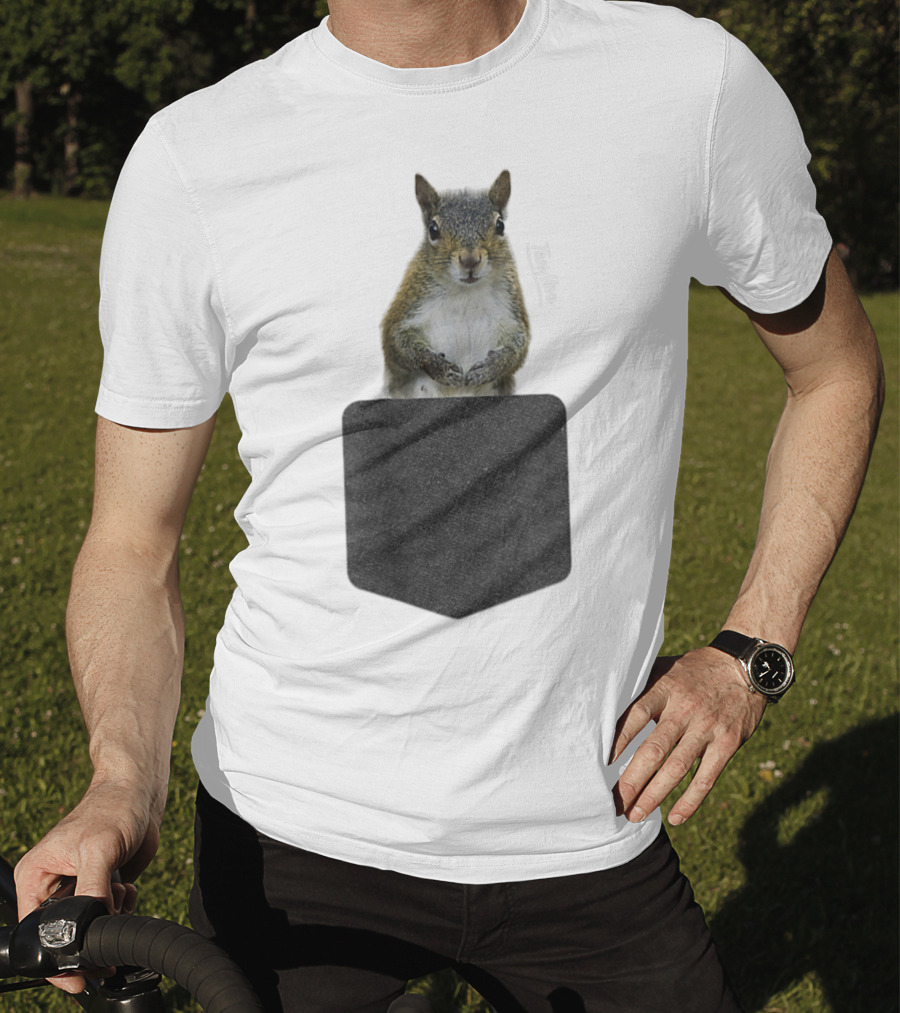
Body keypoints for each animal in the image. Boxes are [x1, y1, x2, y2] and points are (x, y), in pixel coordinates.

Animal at [381, 171, 530, 398]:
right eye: (433, 229)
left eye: (500, 225)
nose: (470, 260)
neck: (465, 292)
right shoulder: (409, 304)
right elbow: (397, 342)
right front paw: (440, 368)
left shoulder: (511, 307)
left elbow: (518, 347)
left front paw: (491, 367)